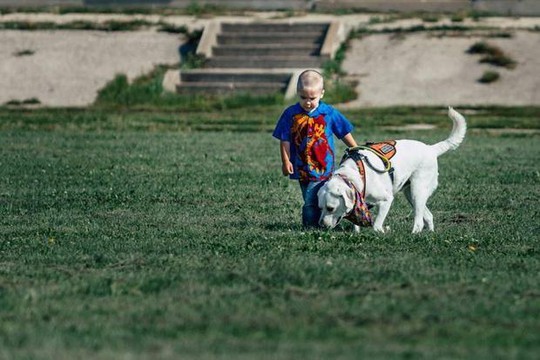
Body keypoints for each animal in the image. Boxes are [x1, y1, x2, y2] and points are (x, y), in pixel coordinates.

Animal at [318, 107, 466, 233]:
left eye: (330, 208)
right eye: (320, 207)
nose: (321, 226)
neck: (356, 174)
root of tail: (431, 149)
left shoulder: (386, 200)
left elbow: (376, 225)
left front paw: (380, 233)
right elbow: (357, 223)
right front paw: (357, 232)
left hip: (417, 191)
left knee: (419, 221)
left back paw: (414, 234)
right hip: (411, 194)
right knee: (428, 216)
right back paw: (430, 233)